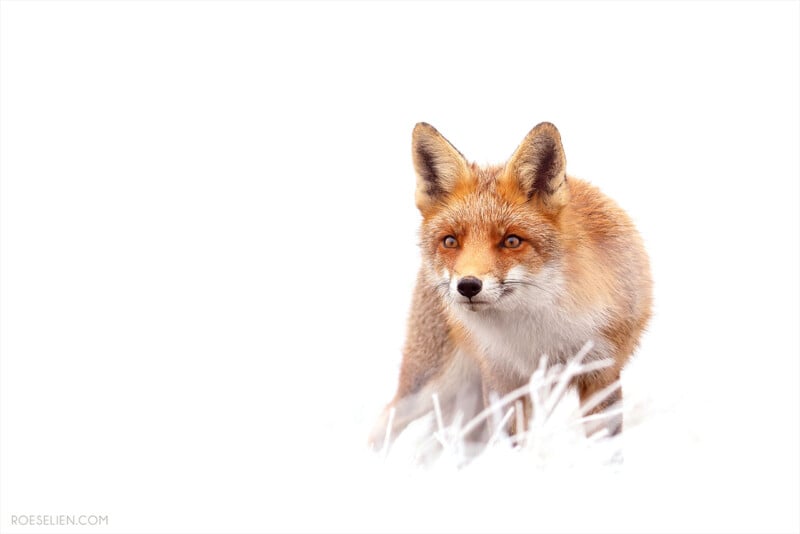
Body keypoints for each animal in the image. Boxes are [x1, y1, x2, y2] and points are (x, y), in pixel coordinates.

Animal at [370, 122, 652, 452]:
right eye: (450, 241)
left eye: (512, 240)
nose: (468, 286)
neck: (540, 331)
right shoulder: (502, 377)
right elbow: (510, 446)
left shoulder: (601, 372)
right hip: (428, 386)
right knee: (383, 426)